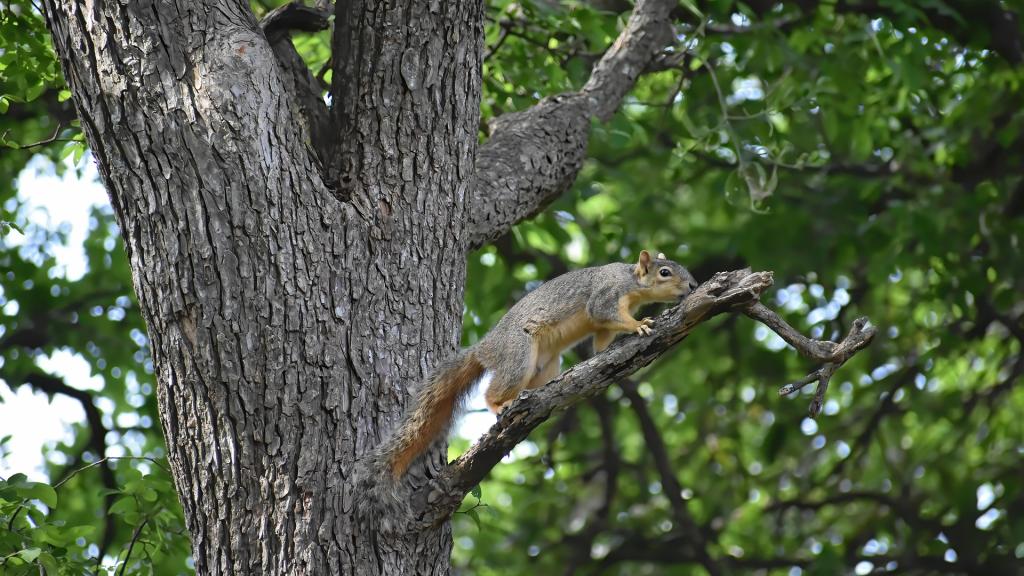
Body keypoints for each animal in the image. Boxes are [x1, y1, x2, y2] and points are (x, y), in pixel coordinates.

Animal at [379, 250, 698, 479]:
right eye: (665, 272)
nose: (694, 285)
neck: (632, 282)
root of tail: (485, 349)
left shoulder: (604, 322)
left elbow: (602, 339)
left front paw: (609, 348)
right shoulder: (607, 294)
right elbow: (603, 312)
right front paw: (638, 325)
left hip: (546, 368)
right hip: (518, 356)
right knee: (494, 391)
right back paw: (501, 405)